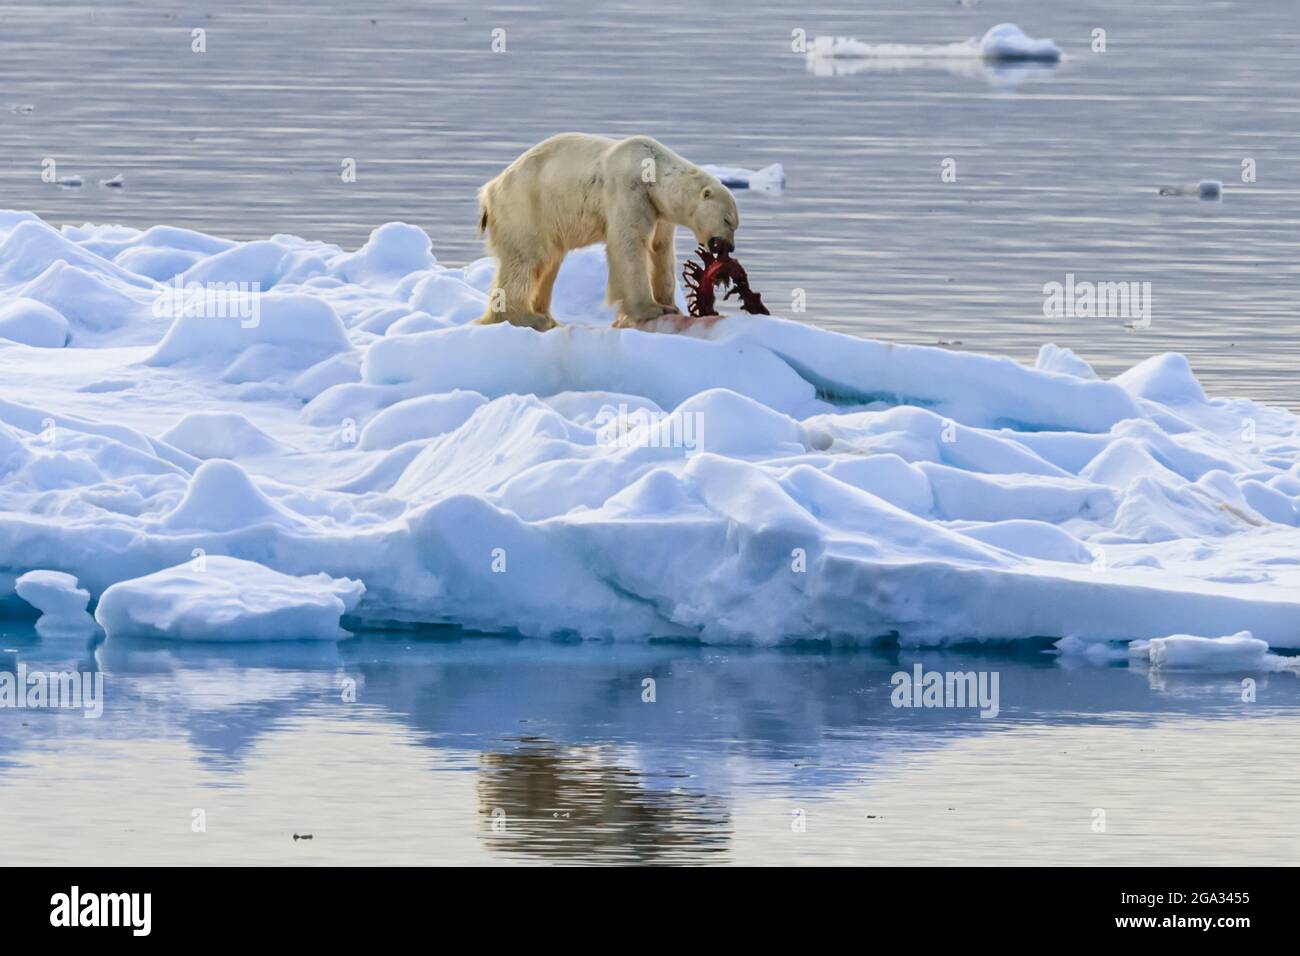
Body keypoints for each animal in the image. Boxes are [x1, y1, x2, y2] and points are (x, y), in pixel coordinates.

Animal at [474, 133, 740, 331]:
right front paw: (650, 310)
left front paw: (670, 305)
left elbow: (661, 250)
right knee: (527, 258)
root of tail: (490, 190)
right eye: (727, 219)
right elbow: (629, 244)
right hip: (527, 206)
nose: (729, 247)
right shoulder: (628, 191)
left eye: (735, 224)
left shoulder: (658, 211)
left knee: (548, 264)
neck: (654, 171)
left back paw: (546, 317)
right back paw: (525, 317)